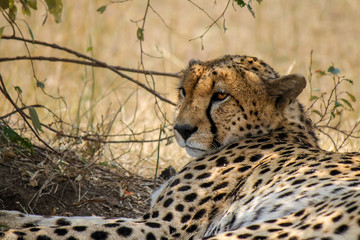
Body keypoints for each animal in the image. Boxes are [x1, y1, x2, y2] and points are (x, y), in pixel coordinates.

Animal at [0, 54, 360, 240]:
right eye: (184, 91)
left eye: (221, 95)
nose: (182, 130)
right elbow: (67, 219)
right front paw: (9, 218)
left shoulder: (164, 227)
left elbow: (74, 226)